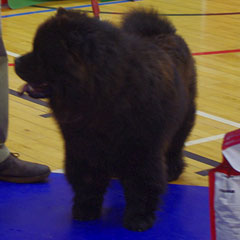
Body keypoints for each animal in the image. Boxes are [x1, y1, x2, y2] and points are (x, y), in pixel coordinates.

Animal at [14, 8, 196, 232]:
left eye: (41, 53)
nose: (17, 61)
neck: (101, 92)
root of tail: (165, 33)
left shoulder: (142, 151)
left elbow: (142, 185)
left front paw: (139, 219)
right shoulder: (81, 147)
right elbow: (87, 181)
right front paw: (85, 210)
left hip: (184, 118)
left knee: (175, 146)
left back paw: (172, 170)